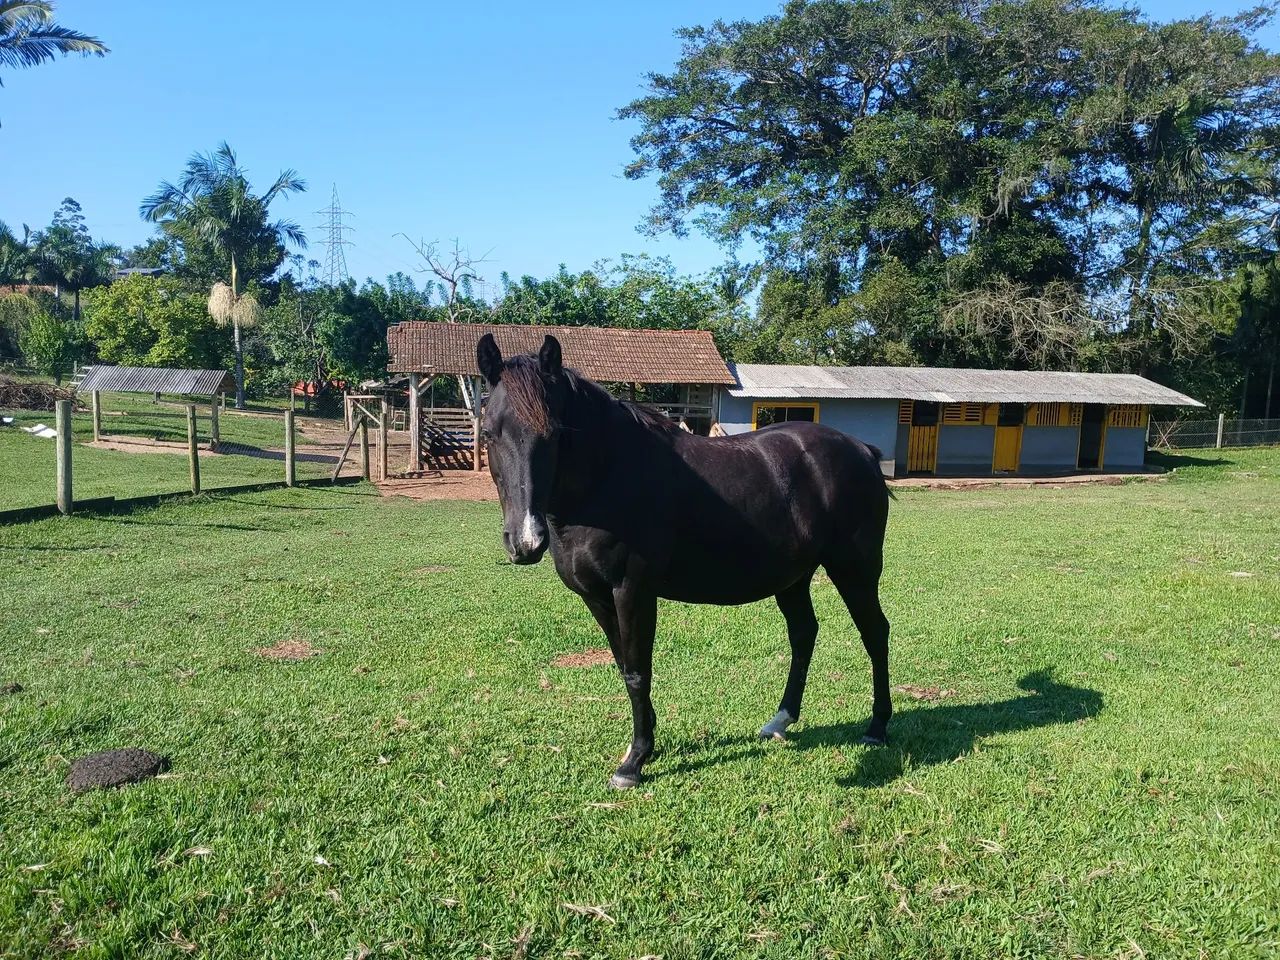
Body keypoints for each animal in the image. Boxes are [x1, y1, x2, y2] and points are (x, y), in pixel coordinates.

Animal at [476, 333, 893, 789]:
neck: (608, 479)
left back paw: (877, 727)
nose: (526, 541)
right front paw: (645, 744)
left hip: (855, 570)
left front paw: (634, 762)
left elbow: (638, 670)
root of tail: (861, 450)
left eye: (553, 433)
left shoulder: (633, 591)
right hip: (793, 579)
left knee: (875, 634)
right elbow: (623, 664)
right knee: (804, 634)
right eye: (489, 432)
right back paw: (780, 720)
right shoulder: (596, 596)